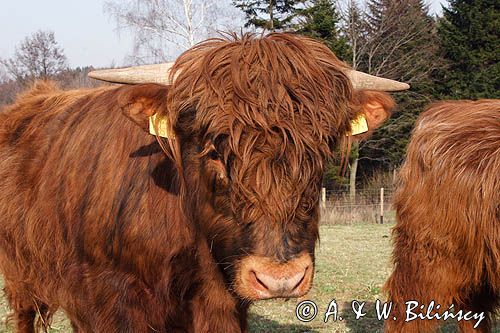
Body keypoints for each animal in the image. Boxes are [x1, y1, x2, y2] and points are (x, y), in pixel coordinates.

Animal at [0, 31, 406, 332]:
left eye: (320, 150)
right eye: (212, 150)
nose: (281, 279)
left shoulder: (222, 303)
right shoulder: (104, 298)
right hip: (21, 273)